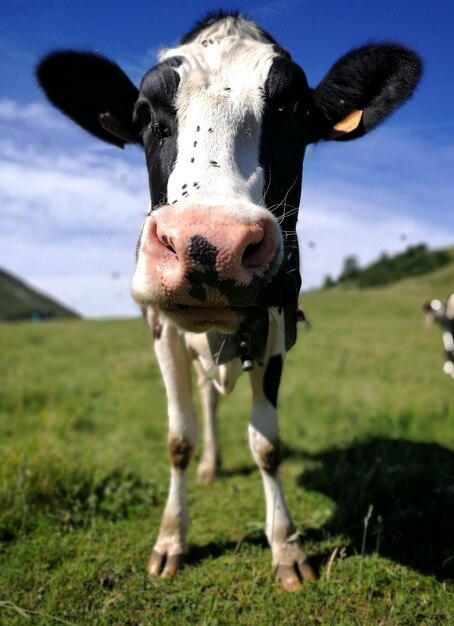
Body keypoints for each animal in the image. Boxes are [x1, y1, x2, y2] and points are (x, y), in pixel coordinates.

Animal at [37, 9, 424, 588]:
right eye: (146, 115)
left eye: (294, 112)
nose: (208, 244)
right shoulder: (162, 332)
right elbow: (178, 439)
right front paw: (171, 539)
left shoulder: (278, 323)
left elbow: (267, 444)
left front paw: (286, 546)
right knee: (207, 402)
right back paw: (210, 464)